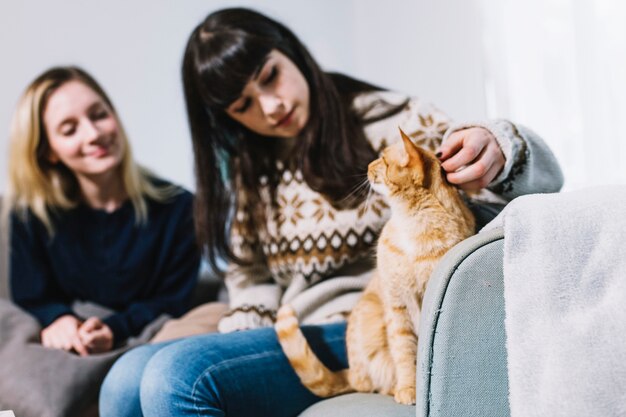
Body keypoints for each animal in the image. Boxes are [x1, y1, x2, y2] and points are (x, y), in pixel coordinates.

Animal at [272, 129, 472, 404]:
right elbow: (403, 352)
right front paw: (408, 388)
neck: (412, 227)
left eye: (384, 160)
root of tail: (352, 373)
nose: (367, 166)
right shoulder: (396, 305)